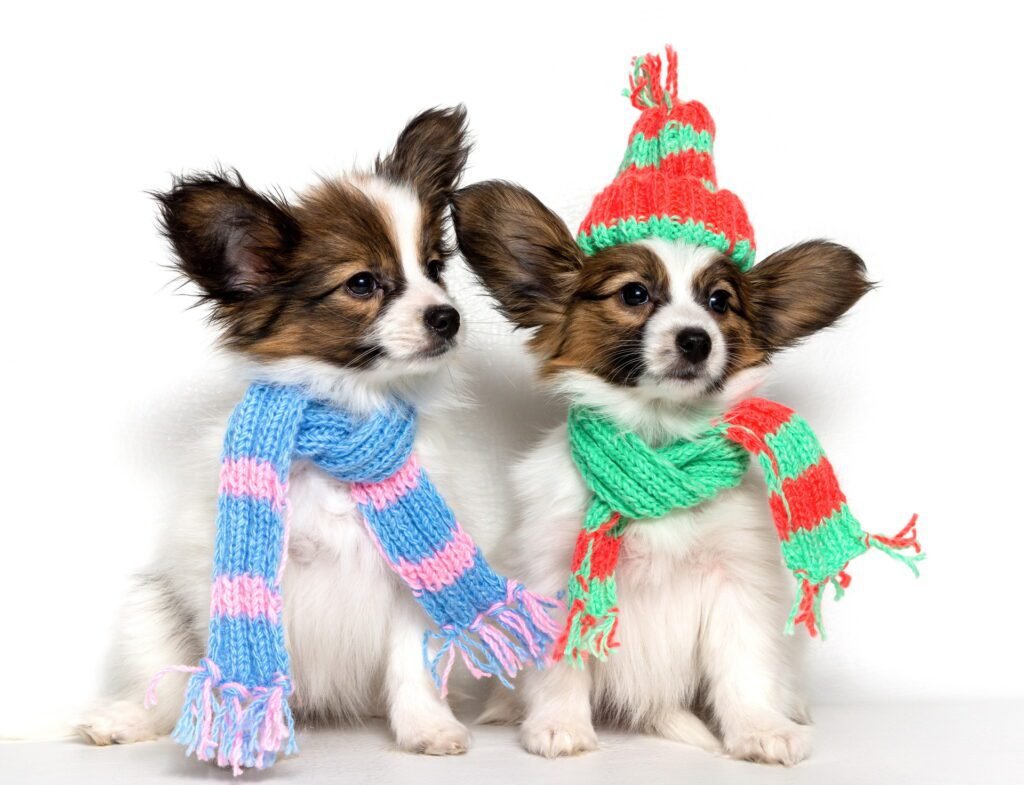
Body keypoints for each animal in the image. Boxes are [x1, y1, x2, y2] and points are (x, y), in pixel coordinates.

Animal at [77, 105, 477, 753]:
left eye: (436, 268)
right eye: (362, 283)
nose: (449, 317)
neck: (345, 416)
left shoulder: (406, 582)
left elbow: (409, 663)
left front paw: (427, 728)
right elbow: (244, 663)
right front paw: (244, 725)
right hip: (151, 609)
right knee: (168, 685)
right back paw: (126, 718)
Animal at [454, 46, 921, 765]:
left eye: (720, 303)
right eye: (634, 294)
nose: (696, 339)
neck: (657, 442)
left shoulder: (736, 583)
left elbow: (743, 668)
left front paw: (758, 728)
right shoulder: (558, 571)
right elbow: (562, 662)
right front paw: (557, 724)